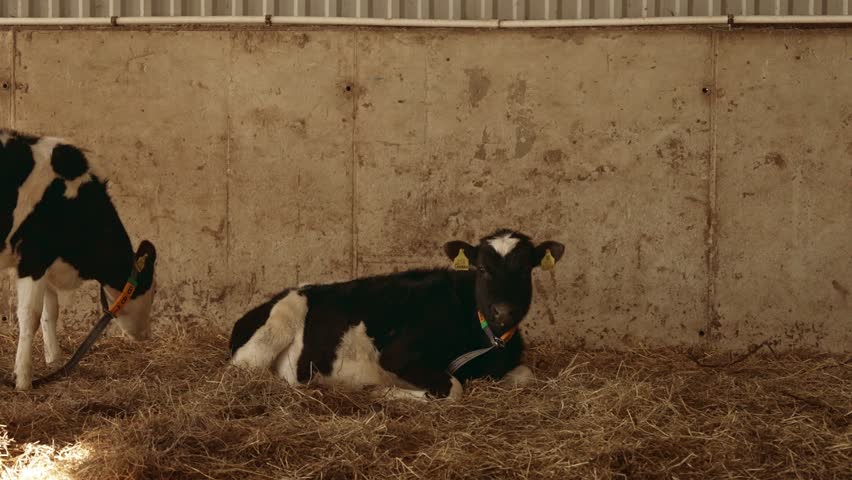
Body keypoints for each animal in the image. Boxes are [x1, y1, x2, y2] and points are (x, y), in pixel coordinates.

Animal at [0, 129, 158, 390]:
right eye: (152, 290)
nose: (146, 334)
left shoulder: (46, 262)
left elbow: (50, 310)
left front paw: (54, 359)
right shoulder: (35, 258)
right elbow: (30, 315)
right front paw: (23, 379)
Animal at [229, 229, 564, 400]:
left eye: (525, 269)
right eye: (482, 268)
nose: (504, 311)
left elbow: (525, 376)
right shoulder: (396, 355)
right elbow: (453, 389)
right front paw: (387, 392)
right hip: (275, 328)